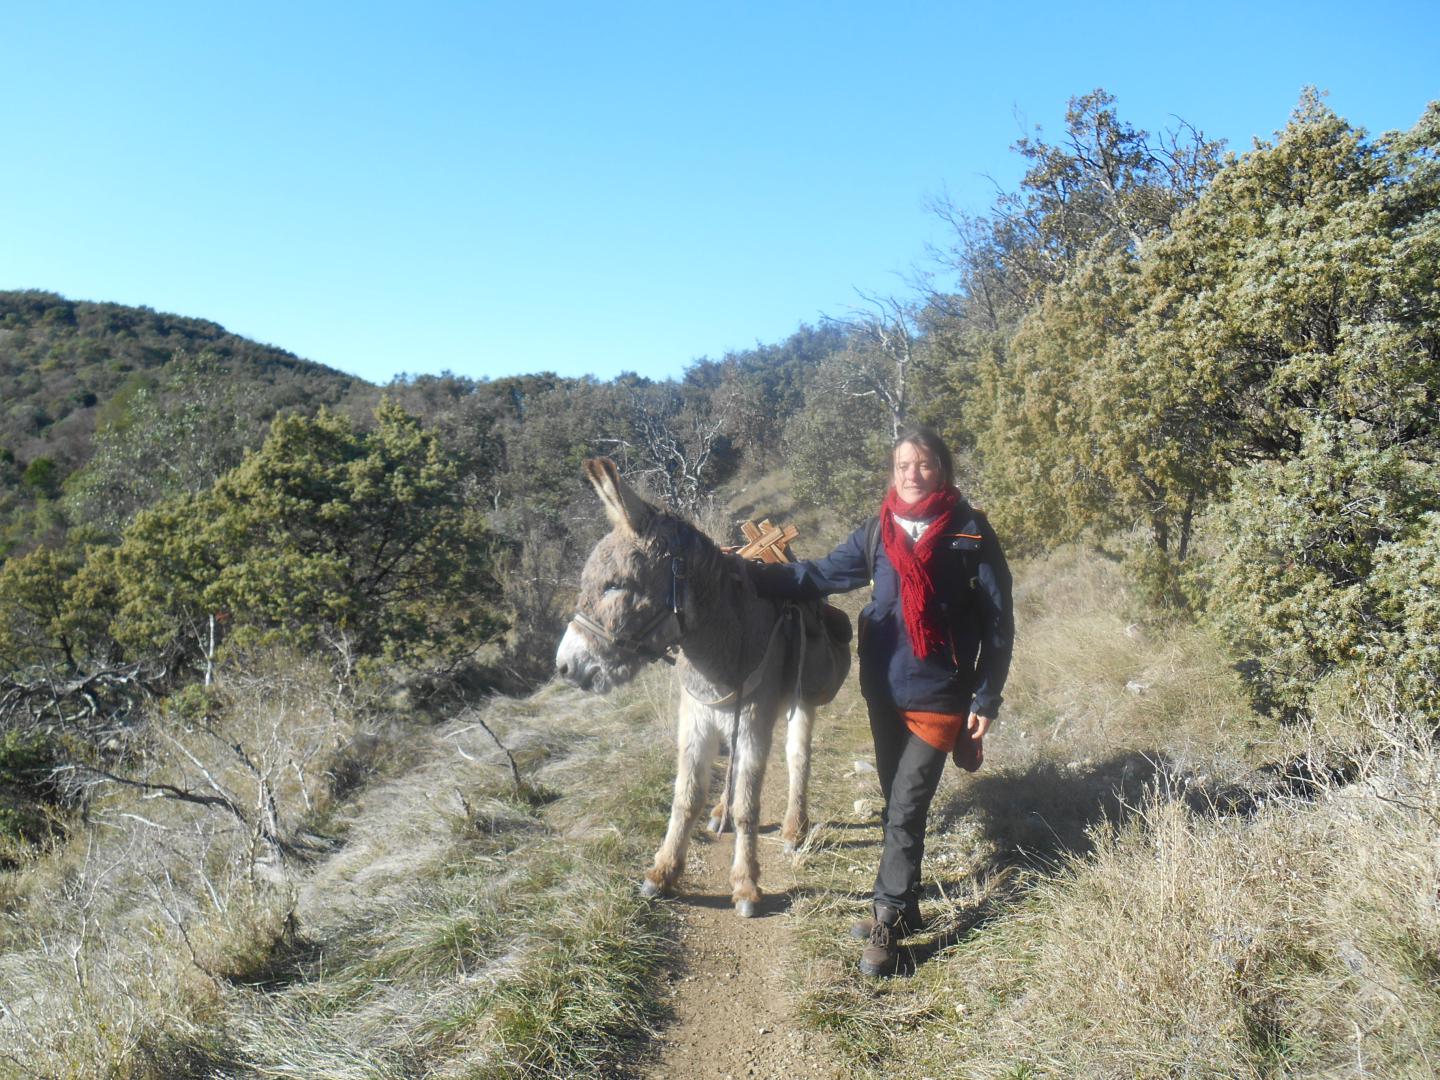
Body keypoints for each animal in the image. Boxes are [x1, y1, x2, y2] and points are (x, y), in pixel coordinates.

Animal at [554, 458, 850, 917]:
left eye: (618, 585)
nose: (565, 666)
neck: (715, 642)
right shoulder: (695, 716)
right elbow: (686, 796)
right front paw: (663, 872)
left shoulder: (753, 718)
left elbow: (748, 805)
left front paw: (745, 885)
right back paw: (721, 811)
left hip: (799, 701)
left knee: (797, 757)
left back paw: (793, 829)